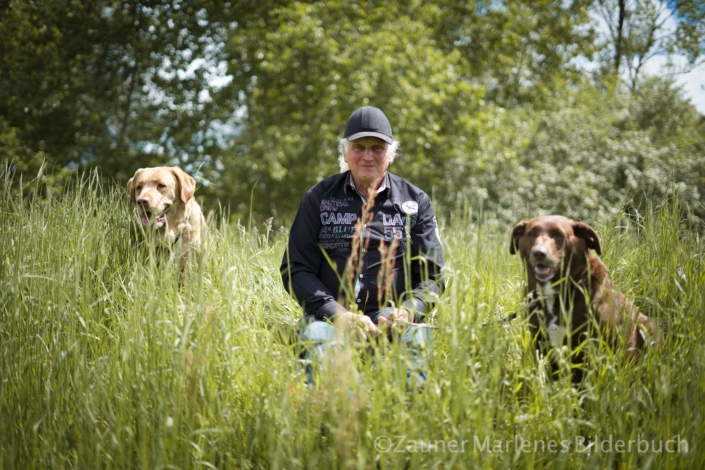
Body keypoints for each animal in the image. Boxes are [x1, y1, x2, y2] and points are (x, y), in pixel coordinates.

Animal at [508, 216, 656, 382]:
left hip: (649, 327)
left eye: (559, 234)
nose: (539, 253)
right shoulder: (536, 340)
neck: (554, 293)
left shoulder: (592, 347)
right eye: (531, 233)